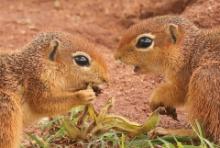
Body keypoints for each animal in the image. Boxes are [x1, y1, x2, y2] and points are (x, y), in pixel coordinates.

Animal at [115, 15, 220, 143]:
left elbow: (171, 92)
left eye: (144, 42)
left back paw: (167, 132)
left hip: (204, 79)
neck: (190, 52)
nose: (116, 55)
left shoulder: (183, 81)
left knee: (203, 133)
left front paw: (154, 102)